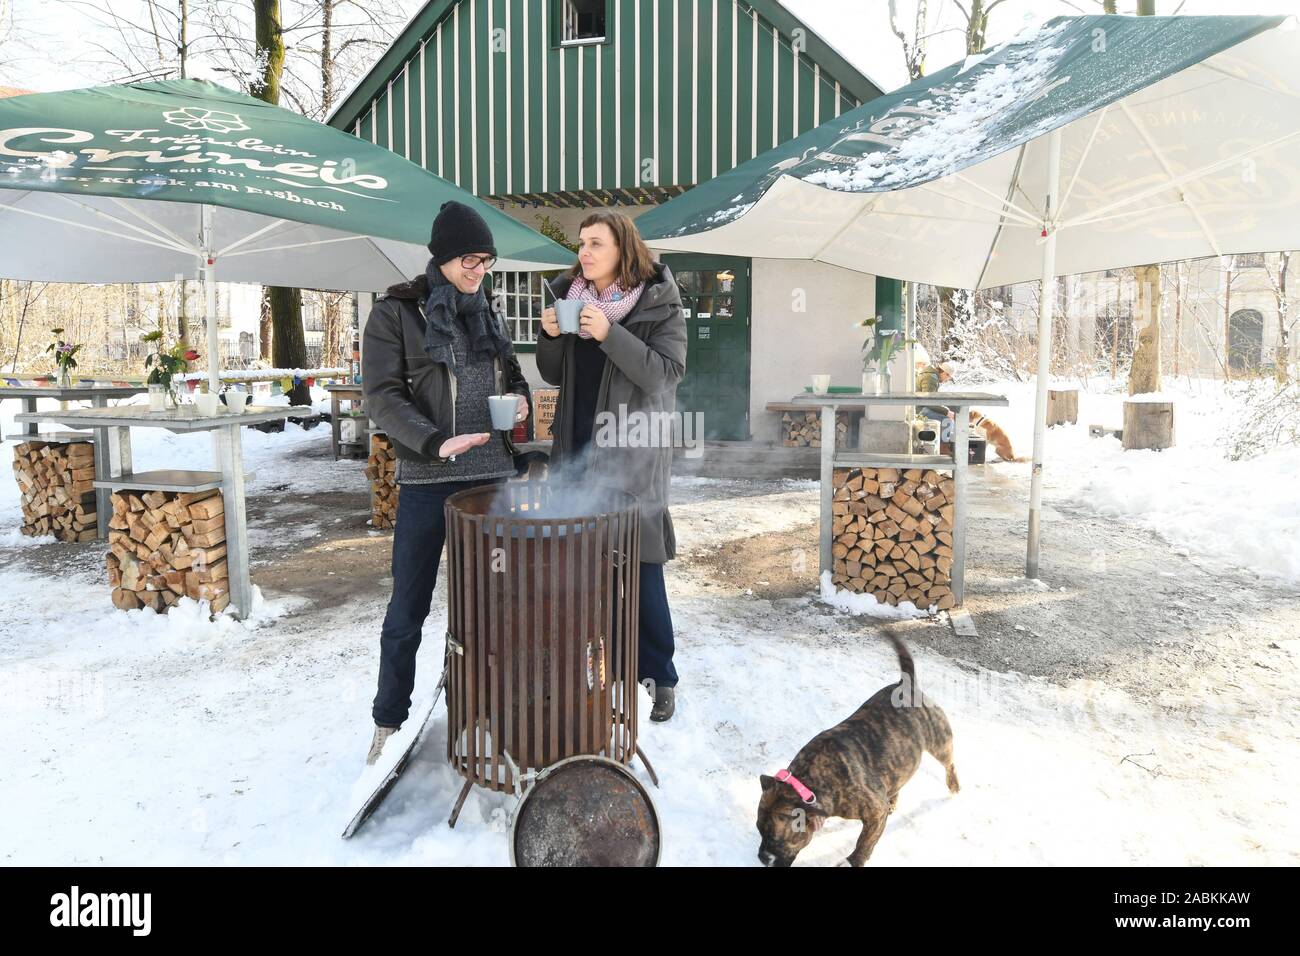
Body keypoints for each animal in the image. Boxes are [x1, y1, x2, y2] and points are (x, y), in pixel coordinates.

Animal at [759, 632, 961, 868]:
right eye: (759, 831)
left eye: (775, 839)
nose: (761, 858)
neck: (811, 784)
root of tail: (906, 683)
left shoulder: (874, 813)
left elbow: (865, 841)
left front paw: (853, 861)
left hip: (939, 741)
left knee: (949, 763)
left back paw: (953, 785)